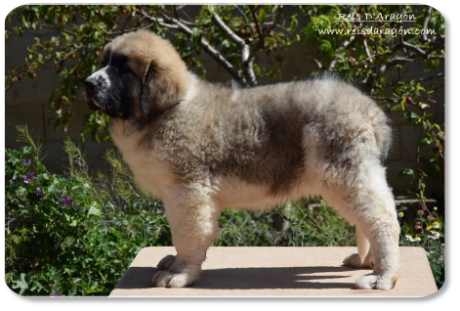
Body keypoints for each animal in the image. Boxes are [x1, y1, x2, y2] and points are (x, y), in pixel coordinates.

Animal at [85, 30, 398, 292]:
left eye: (123, 68)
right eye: (104, 62)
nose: (87, 84)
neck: (163, 113)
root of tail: (368, 108)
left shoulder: (188, 192)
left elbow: (186, 235)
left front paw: (179, 273)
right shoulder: (180, 195)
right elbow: (183, 234)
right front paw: (174, 262)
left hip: (343, 176)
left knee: (383, 221)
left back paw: (382, 276)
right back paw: (367, 262)